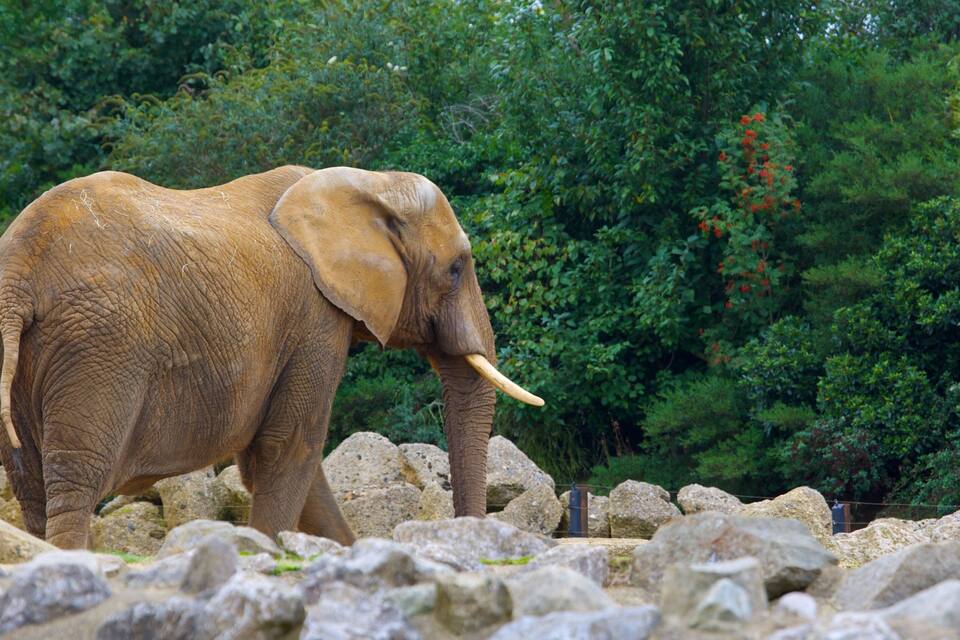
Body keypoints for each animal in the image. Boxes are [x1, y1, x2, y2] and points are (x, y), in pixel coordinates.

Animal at [0, 165, 542, 549]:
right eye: (456, 269)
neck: (369, 183)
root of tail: (20, 268)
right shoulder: (314, 319)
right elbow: (289, 448)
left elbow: (299, 461)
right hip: (102, 348)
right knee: (77, 480)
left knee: (31, 483)